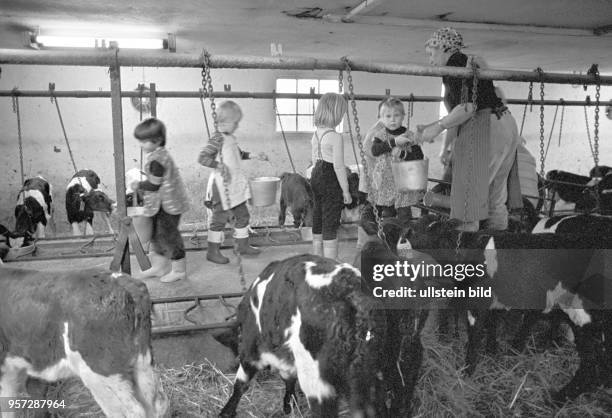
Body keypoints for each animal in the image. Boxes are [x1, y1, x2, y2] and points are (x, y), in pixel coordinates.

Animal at [215, 255, 388, 418]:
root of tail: (350, 291)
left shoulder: (251, 351)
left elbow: (240, 383)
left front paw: (226, 411)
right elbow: (288, 378)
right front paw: (289, 404)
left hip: (316, 381)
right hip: (372, 380)